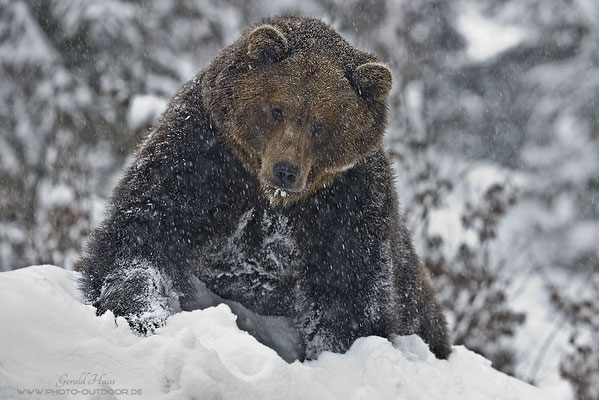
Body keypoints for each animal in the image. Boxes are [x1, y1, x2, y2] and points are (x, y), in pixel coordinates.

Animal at [81, 15, 454, 360]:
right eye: (277, 110)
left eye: (321, 124)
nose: (286, 170)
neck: (272, 199)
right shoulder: (205, 156)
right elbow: (150, 223)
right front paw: (139, 314)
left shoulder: (347, 199)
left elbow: (347, 284)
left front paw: (335, 353)